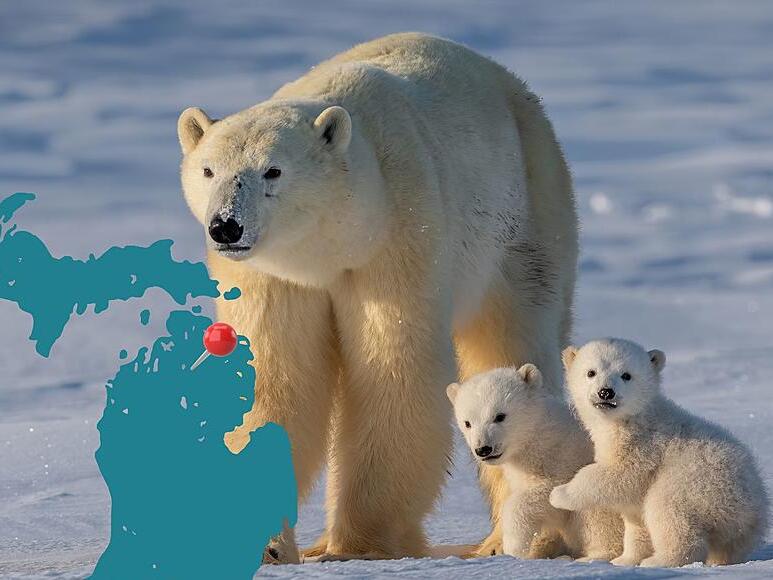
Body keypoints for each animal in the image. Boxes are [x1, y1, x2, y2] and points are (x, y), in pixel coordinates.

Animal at [177, 32, 578, 561]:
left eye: (273, 171)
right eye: (208, 170)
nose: (226, 226)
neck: (331, 246)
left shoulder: (398, 236)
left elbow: (393, 372)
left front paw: (358, 545)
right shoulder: (273, 276)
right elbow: (276, 380)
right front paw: (265, 544)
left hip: (526, 215)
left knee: (512, 337)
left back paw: (507, 541)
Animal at [447, 365, 623, 561]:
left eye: (500, 416)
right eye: (467, 423)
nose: (483, 449)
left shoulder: (563, 459)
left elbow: (546, 495)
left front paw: (514, 546)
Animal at [551, 338, 768, 567]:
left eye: (626, 375)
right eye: (591, 372)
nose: (606, 392)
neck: (632, 418)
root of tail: (753, 507)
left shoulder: (643, 445)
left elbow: (618, 475)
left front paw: (559, 494)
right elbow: (635, 519)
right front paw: (624, 560)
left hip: (696, 483)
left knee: (667, 510)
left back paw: (659, 560)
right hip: (735, 525)